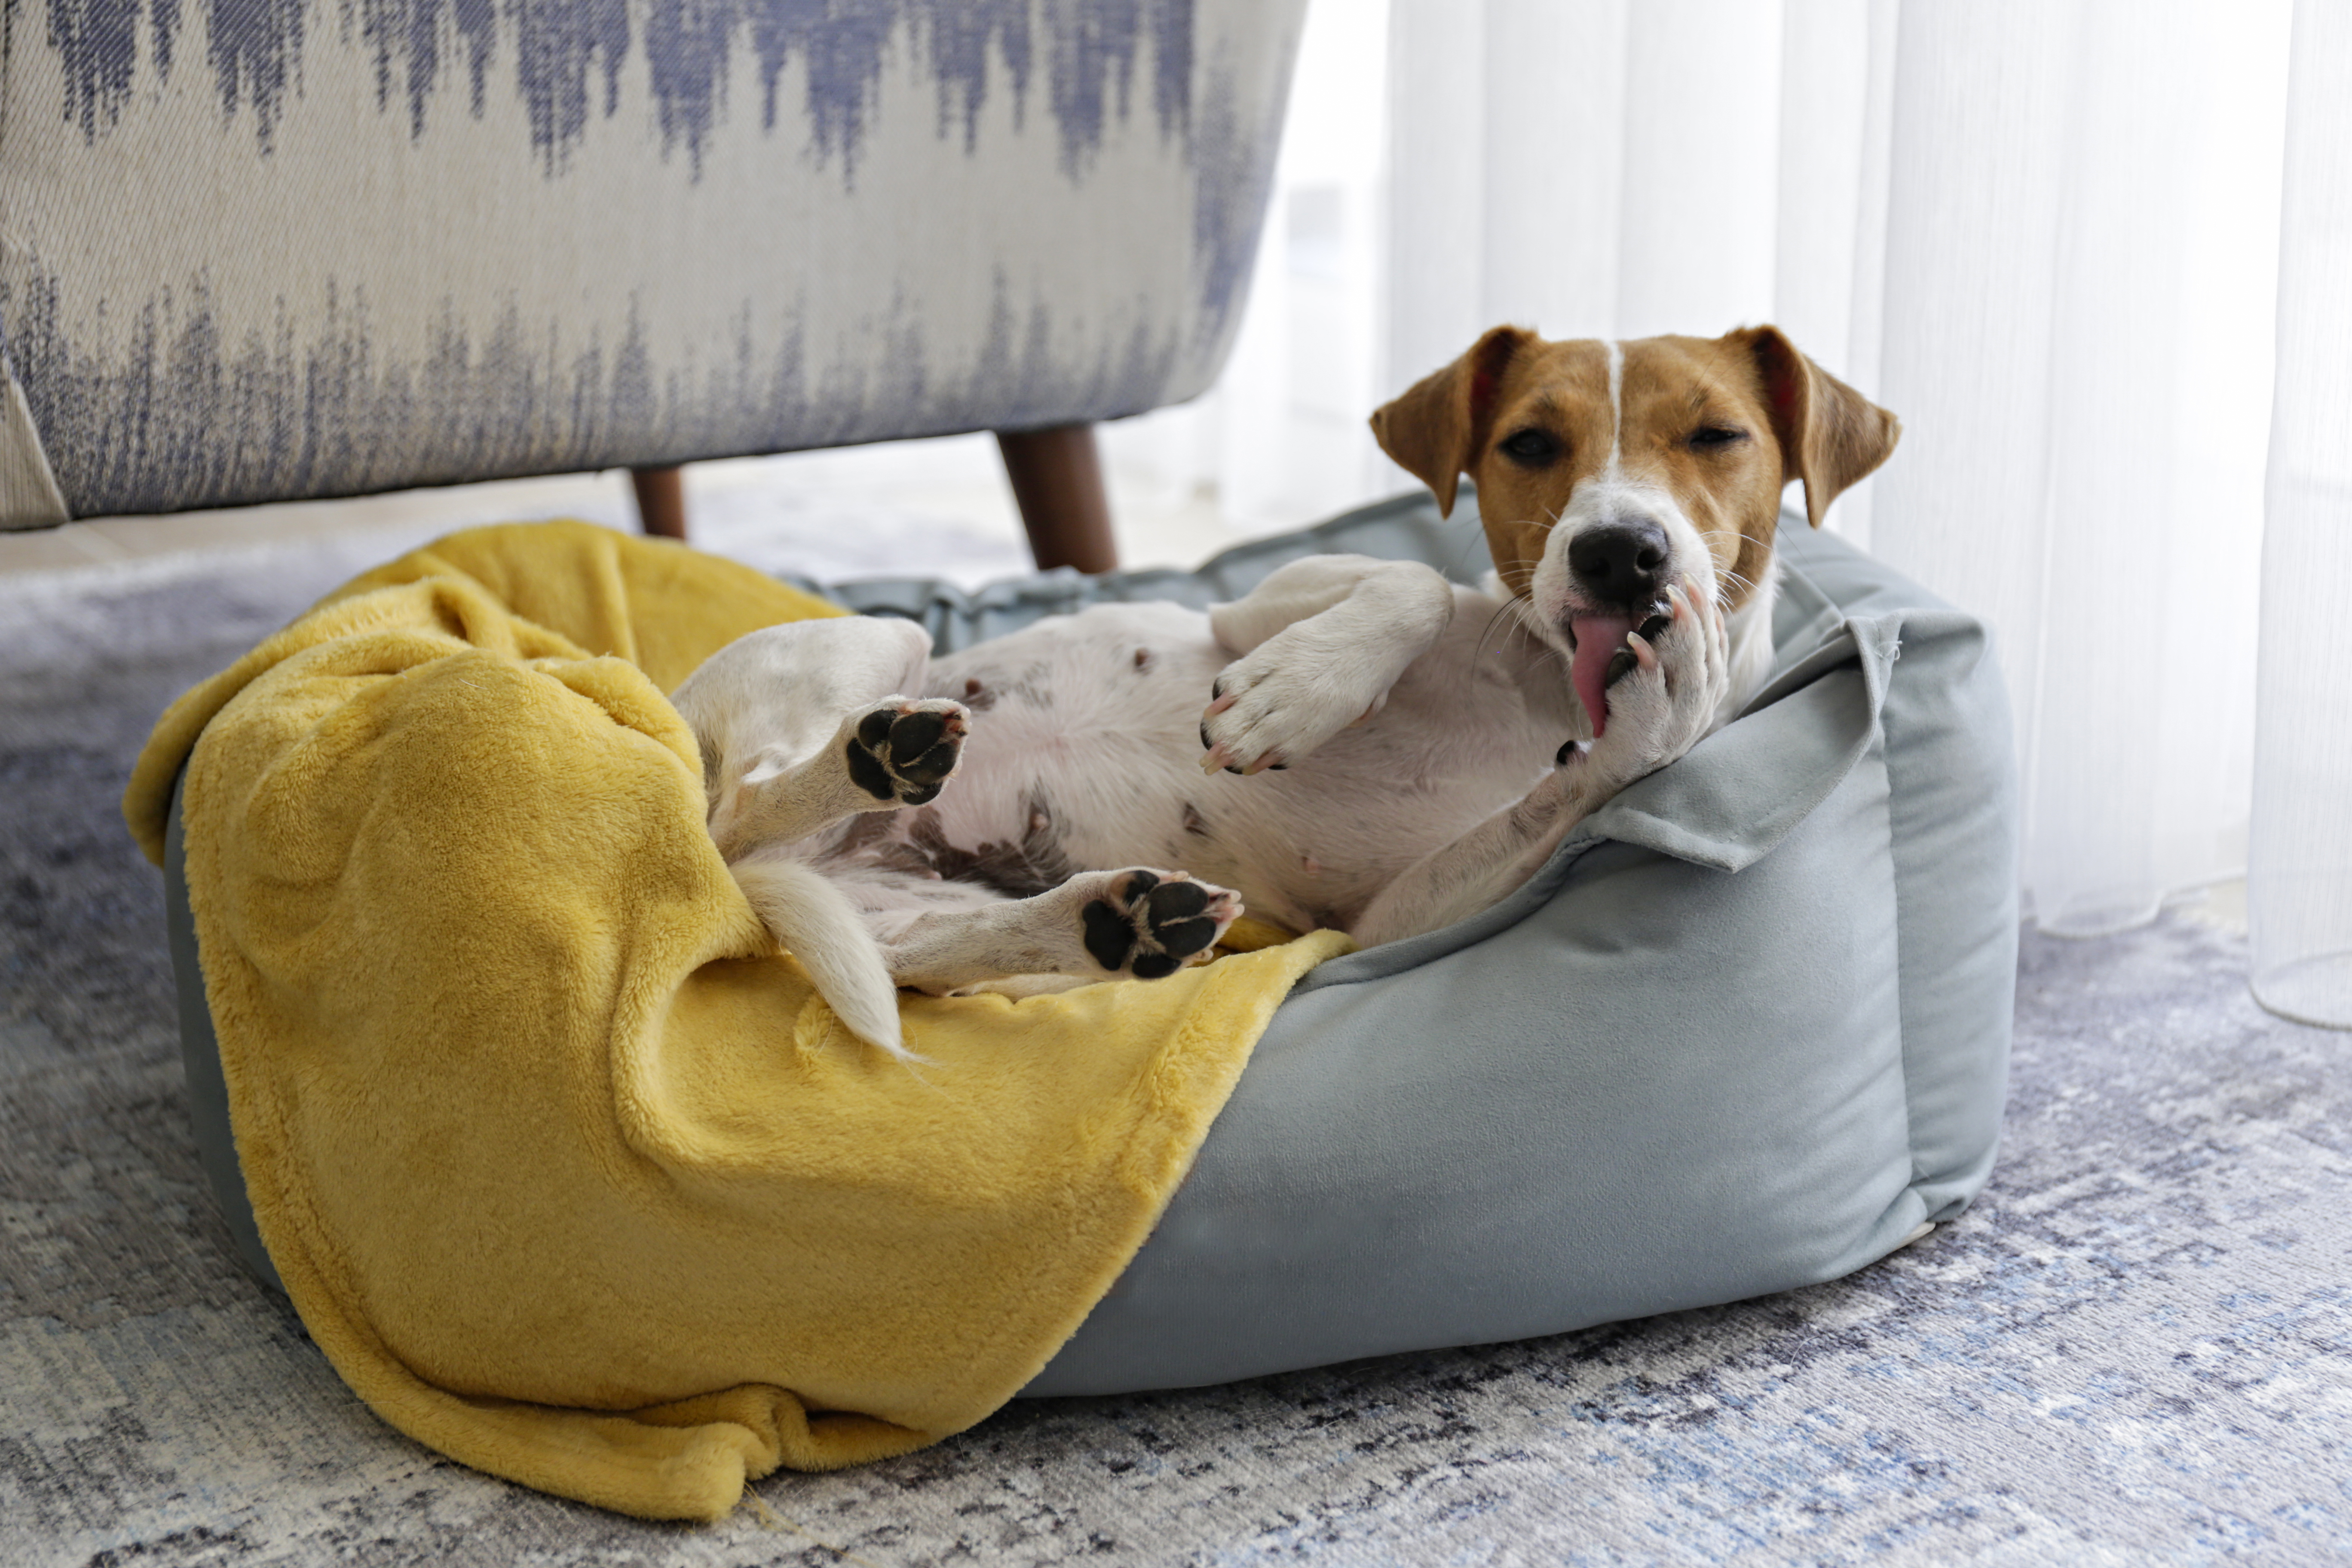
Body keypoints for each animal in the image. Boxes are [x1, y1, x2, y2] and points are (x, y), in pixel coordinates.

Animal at [668, 319, 1891, 1063]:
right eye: (1531, 443)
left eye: (1718, 435)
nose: (1620, 554)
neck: (1546, 691)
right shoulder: (1256, 609)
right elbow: (1410, 585)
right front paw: (1295, 695)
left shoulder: (1398, 915)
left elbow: (1593, 776)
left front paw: (1657, 713)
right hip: (881, 643)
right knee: (757, 797)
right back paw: (879, 758)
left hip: (916, 901)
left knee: (927, 953)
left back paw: (1112, 922)